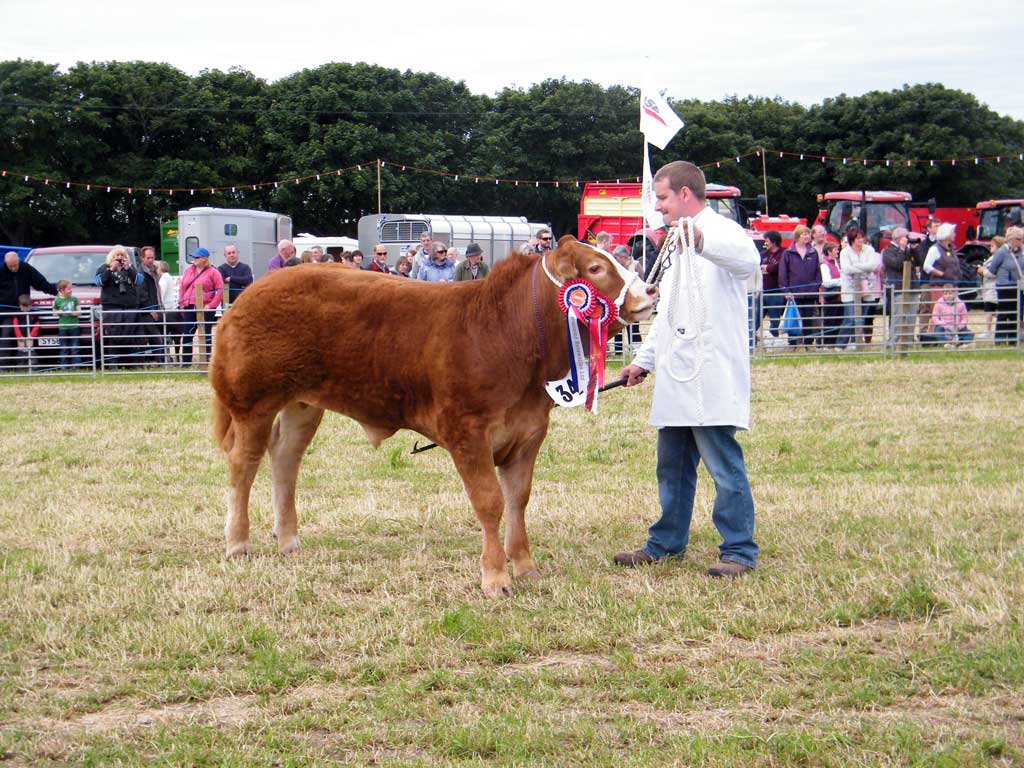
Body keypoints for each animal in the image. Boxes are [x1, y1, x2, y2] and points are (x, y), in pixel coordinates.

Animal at [210, 237, 651, 598]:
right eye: (595, 268)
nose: (649, 289)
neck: (506, 333)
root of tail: (248, 295)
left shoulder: (528, 433)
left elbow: (518, 500)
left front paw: (525, 567)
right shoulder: (467, 432)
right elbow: (490, 502)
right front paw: (495, 578)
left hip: (302, 405)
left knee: (285, 460)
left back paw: (288, 540)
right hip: (252, 403)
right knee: (242, 467)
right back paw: (238, 543)